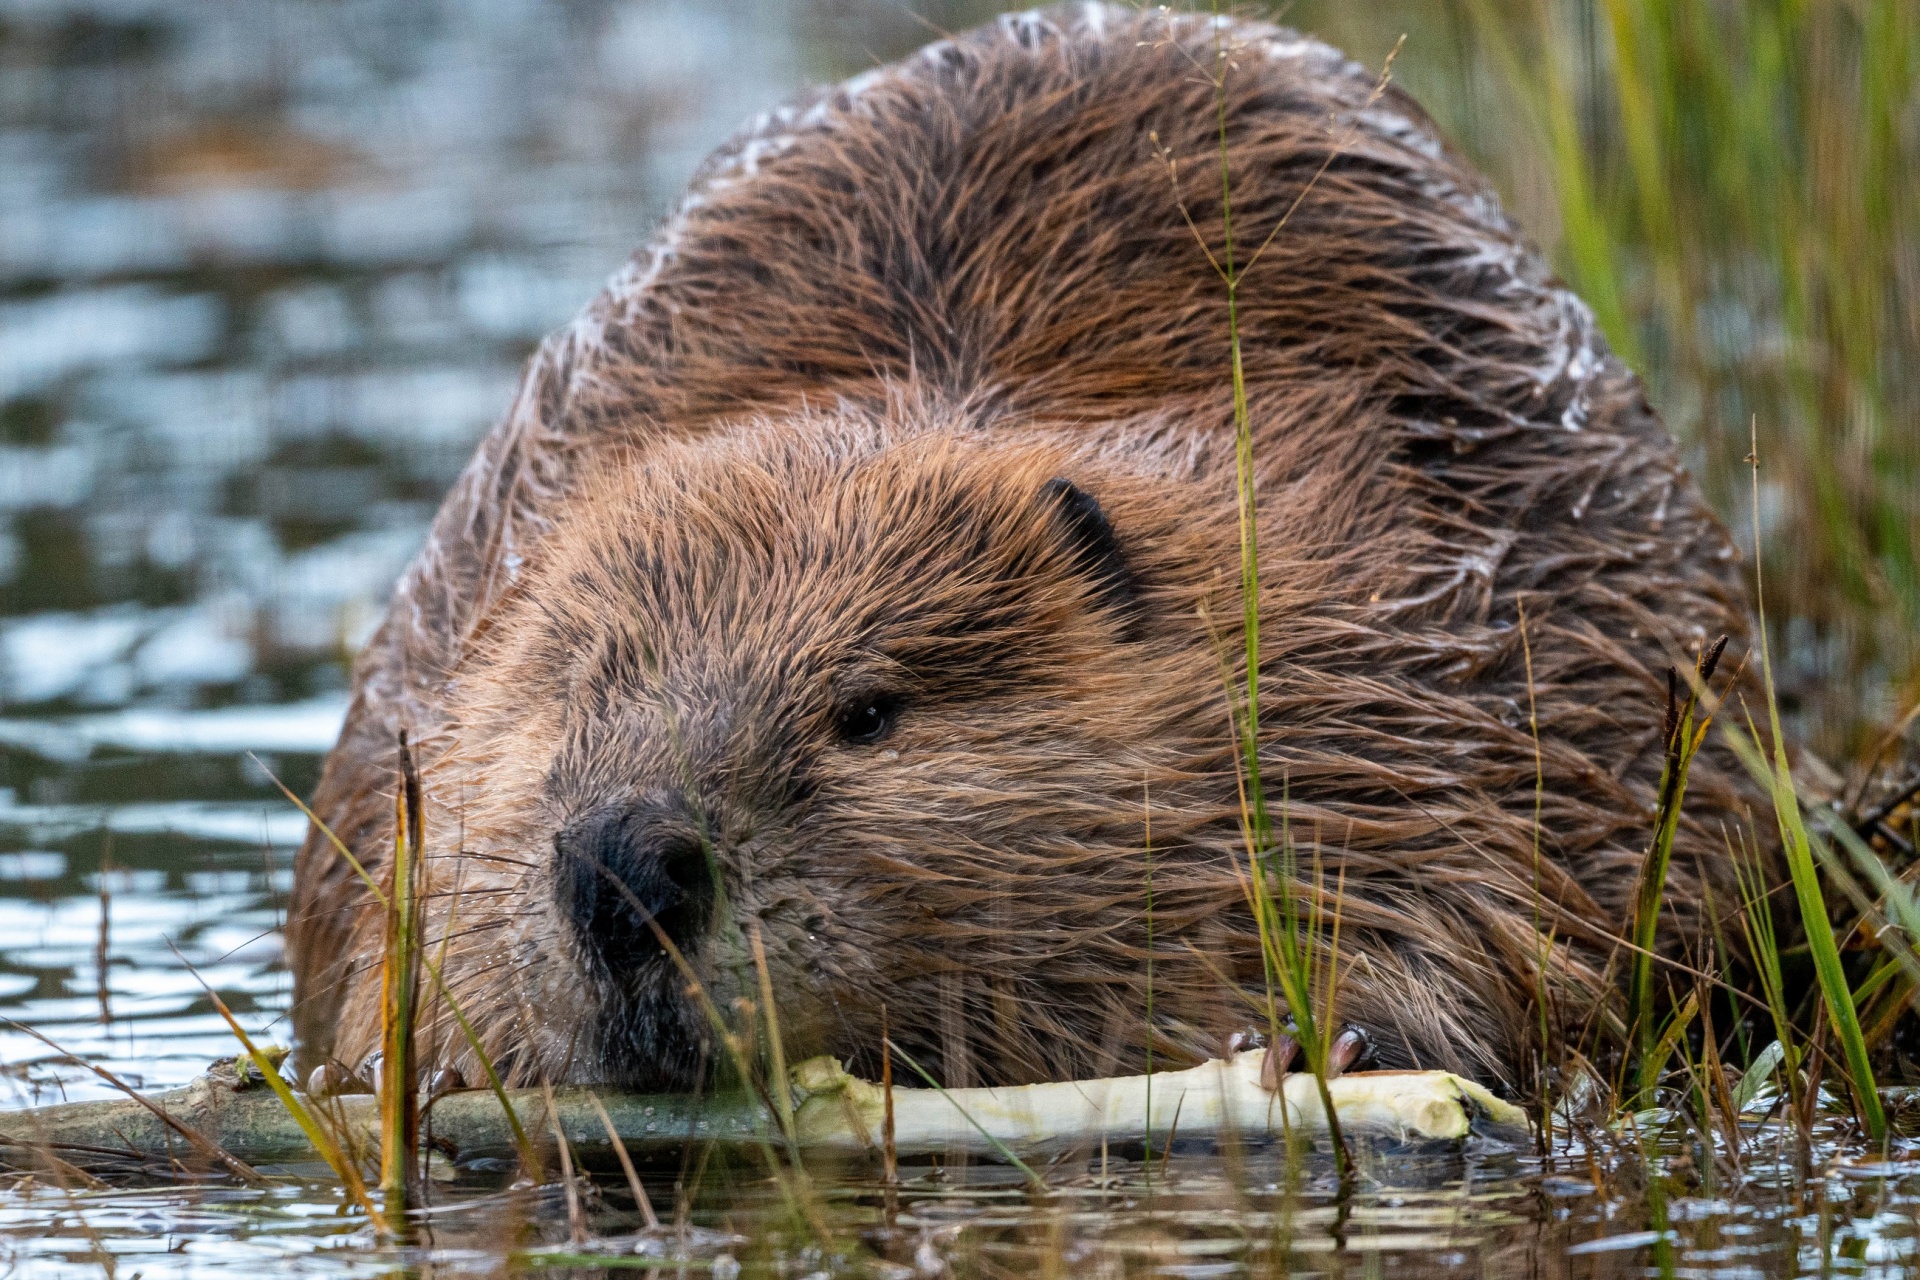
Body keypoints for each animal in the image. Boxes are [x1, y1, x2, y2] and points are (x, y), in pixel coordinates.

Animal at [284, 5, 1766, 1097]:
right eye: (577, 689)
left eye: (869, 711)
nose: (625, 867)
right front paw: (433, 1070)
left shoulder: (1442, 612)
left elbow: (1497, 903)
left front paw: (1322, 1037)